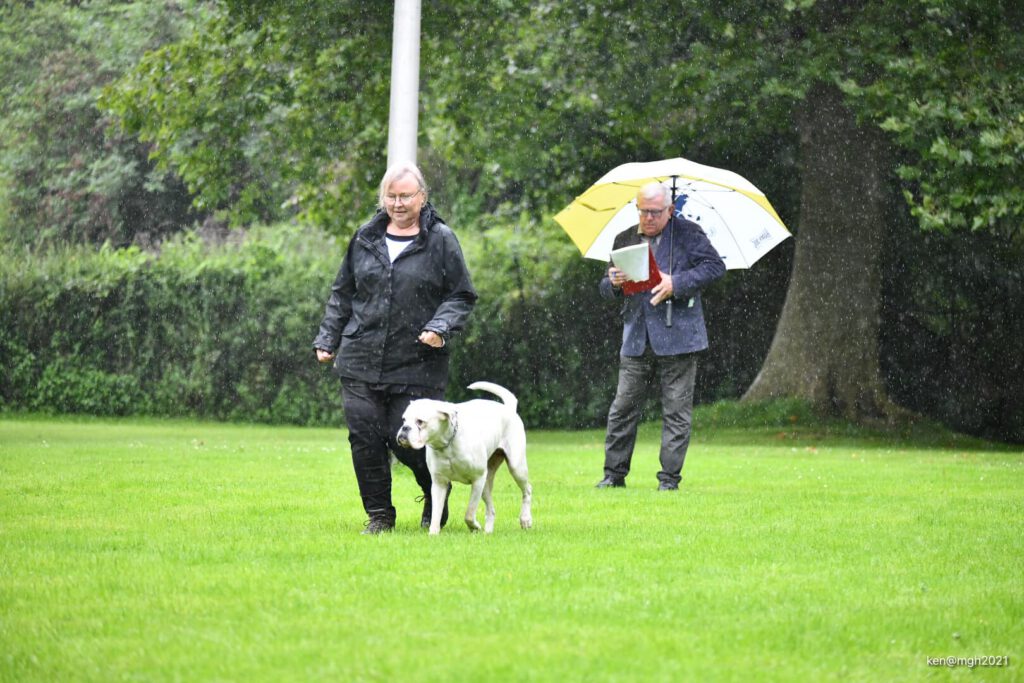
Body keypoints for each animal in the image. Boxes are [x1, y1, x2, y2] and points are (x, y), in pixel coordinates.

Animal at [395, 378, 532, 532]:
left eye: (420, 421)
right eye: (404, 420)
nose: (404, 429)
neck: (447, 444)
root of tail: (509, 408)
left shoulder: (477, 480)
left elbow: (469, 513)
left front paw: (475, 527)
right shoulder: (439, 483)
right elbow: (436, 514)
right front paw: (433, 533)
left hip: (516, 468)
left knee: (527, 490)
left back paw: (525, 519)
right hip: (486, 484)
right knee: (491, 510)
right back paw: (488, 532)